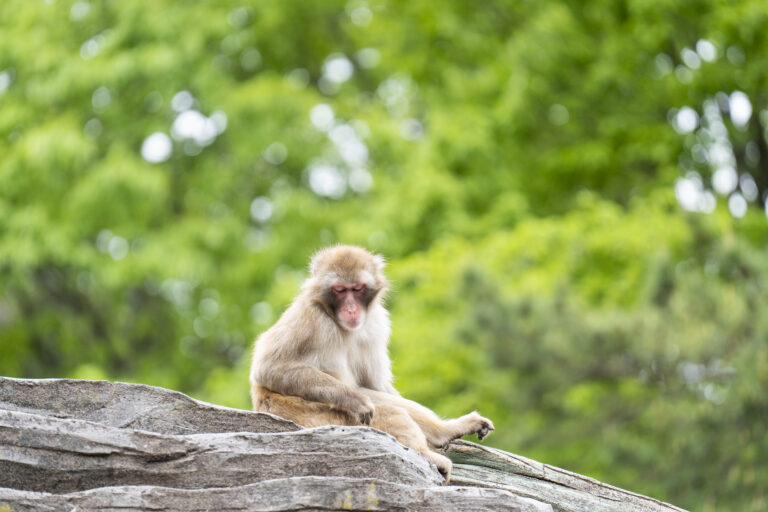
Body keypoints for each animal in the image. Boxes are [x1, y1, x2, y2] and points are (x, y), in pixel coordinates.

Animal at [249, 245, 493, 480]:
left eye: (357, 289)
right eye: (340, 290)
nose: (351, 309)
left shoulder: (376, 323)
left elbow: (376, 385)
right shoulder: (309, 318)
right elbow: (268, 368)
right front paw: (354, 400)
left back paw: (444, 431)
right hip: (318, 414)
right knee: (390, 412)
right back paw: (425, 454)